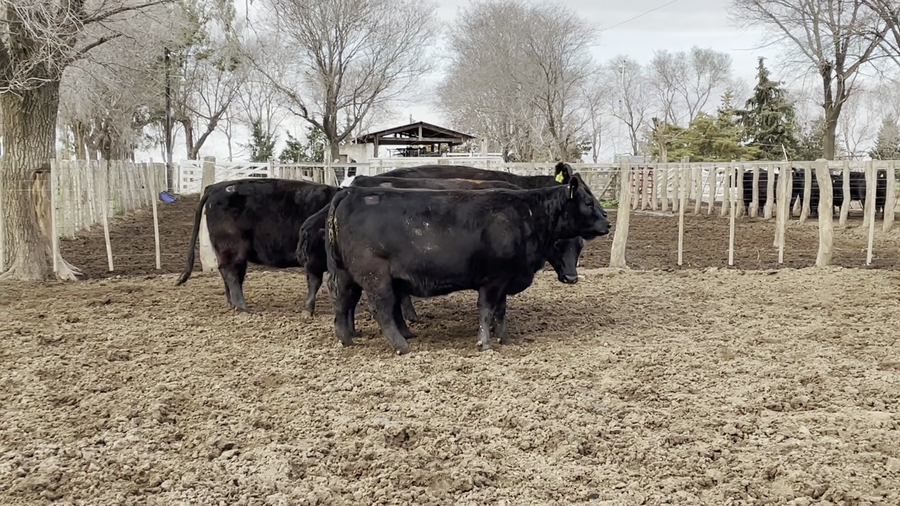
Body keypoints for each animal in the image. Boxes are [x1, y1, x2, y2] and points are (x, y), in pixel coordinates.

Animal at [175, 178, 342, 312]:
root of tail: (216, 186)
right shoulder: (315, 256)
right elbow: (315, 281)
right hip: (231, 247)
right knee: (231, 273)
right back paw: (242, 306)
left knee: (230, 273)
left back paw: (232, 303)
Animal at [323, 174, 610, 355]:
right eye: (587, 202)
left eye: (580, 246)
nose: (607, 222)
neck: (527, 215)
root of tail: (351, 192)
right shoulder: (493, 280)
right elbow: (487, 310)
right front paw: (485, 343)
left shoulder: (504, 279)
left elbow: (501, 312)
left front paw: (505, 339)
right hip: (375, 276)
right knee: (381, 309)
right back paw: (401, 346)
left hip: (347, 274)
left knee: (343, 303)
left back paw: (346, 340)